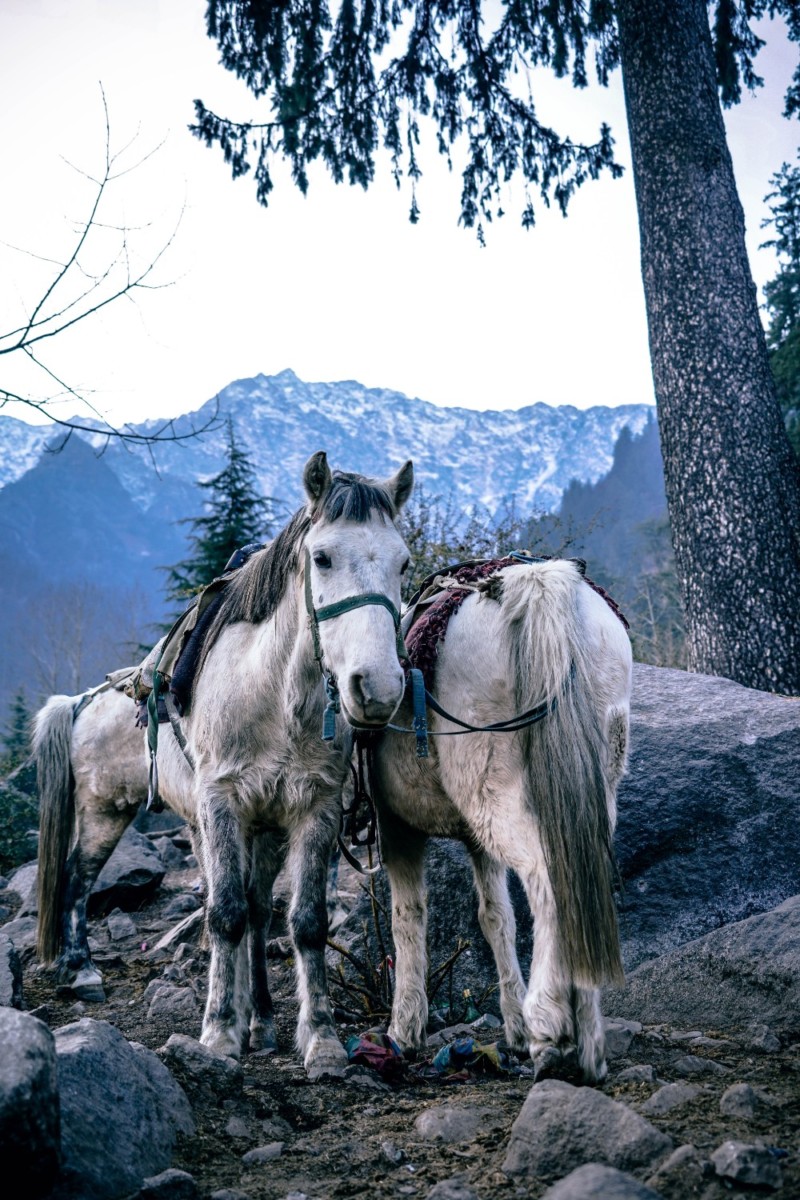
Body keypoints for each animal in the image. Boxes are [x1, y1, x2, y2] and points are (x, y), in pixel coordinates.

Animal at [370, 556, 632, 1083]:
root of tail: (540, 585)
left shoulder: (397, 829)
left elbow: (408, 916)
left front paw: (404, 1029)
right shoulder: (477, 841)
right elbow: (497, 917)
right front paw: (511, 1026)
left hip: (497, 792)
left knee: (550, 880)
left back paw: (550, 1026)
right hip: (593, 788)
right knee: (581, 880)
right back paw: (589, 1043)